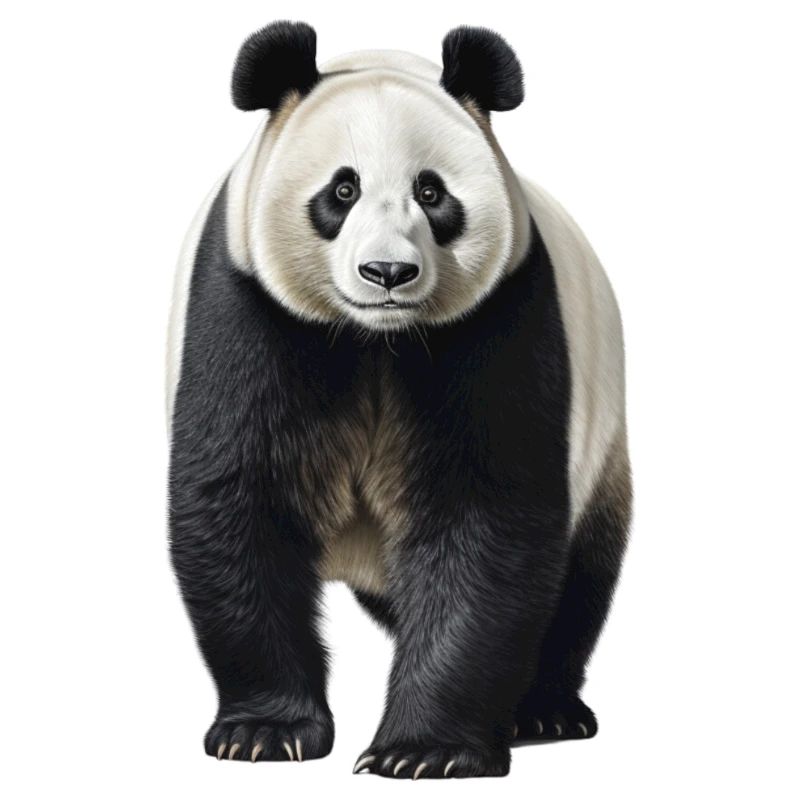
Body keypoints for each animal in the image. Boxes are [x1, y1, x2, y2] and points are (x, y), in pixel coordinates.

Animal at [167, 21, 632, 780]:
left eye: (432, 192)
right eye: (342, 189)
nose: (388, 272)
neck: (375, 339)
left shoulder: (500, 317)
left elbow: (483, 516)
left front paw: (425, 751)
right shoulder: (246, 307)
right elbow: (241, 497)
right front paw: (266, 733)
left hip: (602, 437)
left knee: (579, 577)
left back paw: (543, 710)